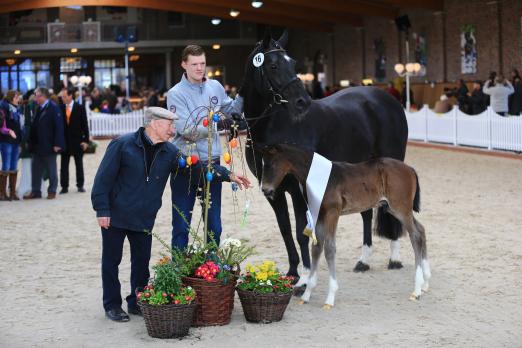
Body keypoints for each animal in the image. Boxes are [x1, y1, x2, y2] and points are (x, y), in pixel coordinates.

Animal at [240, 31, 406, 282]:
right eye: (273, 65)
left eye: (293, 63)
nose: (302, 102)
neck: (274, 127)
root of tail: (388, 100)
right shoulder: (273, 190)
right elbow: (285, 230)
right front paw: (292, 273)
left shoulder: (298, 188)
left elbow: (301, 231)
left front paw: (305, 278)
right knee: (367, 213)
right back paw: (363, 261)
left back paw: (394, 260)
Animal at [260, 144, 430, 308]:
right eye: (263, 164)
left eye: (272, 164)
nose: (265, 190)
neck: (320, 178)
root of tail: (410, 169)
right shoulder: (319, 215)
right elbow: (316, 248)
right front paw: (307, 294)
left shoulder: (332, 214)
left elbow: (329, 249)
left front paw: (330, 298)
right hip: (395, 210)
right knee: (421, 230)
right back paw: (425, 283)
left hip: (401, 209)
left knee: (415, 236)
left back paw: (416, 290)